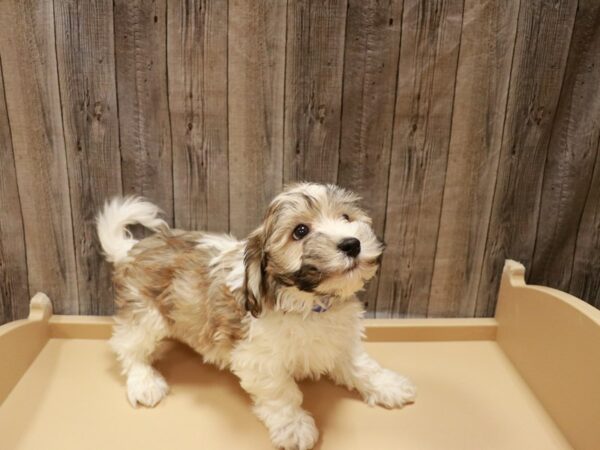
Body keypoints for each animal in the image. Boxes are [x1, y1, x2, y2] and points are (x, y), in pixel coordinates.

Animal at [97, 183, 418, 450]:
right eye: (300, 231)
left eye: (346, 217)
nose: (352, 243)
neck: (309, 303)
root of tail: (131, 249)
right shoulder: (258, 361)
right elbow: (281, 392)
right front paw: (294, 426)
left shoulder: (339, 340)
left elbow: (362, 365)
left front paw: (388, 385)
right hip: (146, 313)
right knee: (129, 347)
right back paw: (144, 382)